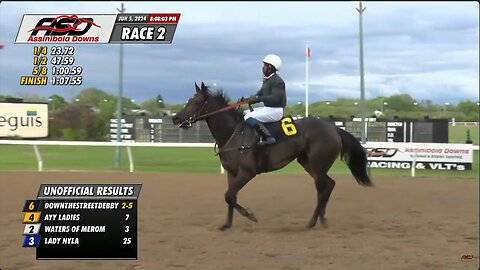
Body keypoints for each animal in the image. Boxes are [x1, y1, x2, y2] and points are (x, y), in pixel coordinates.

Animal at [172, 82, 376, 230]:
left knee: (324, 187)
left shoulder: (247, 172)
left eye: (196, 102)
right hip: (308, 163)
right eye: (189, 100)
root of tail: (333, 129)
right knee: (328, 185)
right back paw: (317, 220)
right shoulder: (231, 173)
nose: (176, 118)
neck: (234, 134)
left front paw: (251, 216)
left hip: (318, 164)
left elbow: (229, 196)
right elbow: (231, 197)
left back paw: (316, 221)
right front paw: (227, 224)